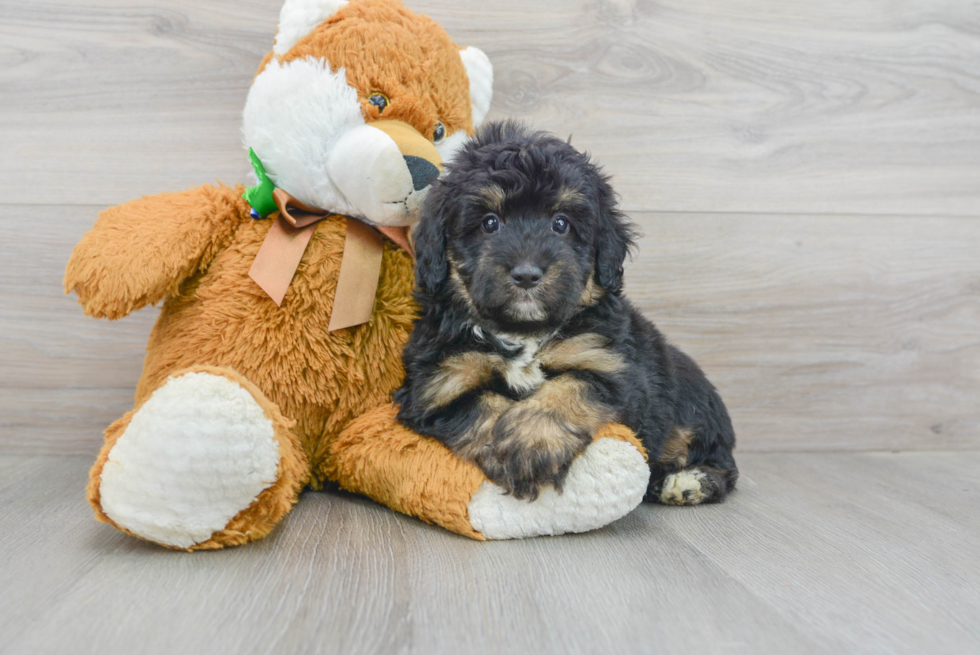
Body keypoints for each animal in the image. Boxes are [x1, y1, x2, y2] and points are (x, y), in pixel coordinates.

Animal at [394, 120, 740, 504]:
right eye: (489, 223)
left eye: (560, 224)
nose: (527, 274)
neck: (523, 332)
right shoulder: (438, 385)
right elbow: (478, 405)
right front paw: (510, 448)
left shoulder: (613, 368)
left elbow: (572, 386)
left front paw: (530, 442)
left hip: (692, 405)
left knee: (719, 460)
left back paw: (689, 480)